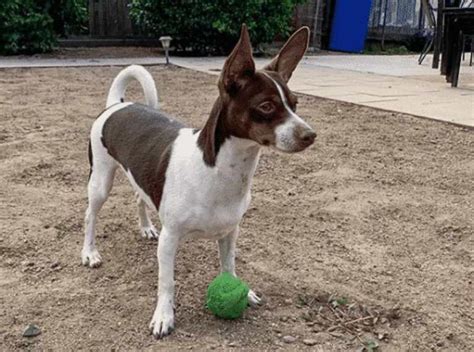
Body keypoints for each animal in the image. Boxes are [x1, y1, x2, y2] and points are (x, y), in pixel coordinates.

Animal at [83, 24, 316, 338]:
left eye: (295, 104)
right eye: (267, 106)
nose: (310, 135)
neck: (218, 173)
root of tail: (117, 105)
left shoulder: (230, 233)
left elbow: (228, 267)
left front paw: (243, 291)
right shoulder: (169, 240)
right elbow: (167, 282)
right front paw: (164, 316)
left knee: (138, 197)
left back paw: (145, 227)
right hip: (100, 181)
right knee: (90, 215)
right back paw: (89, 252)